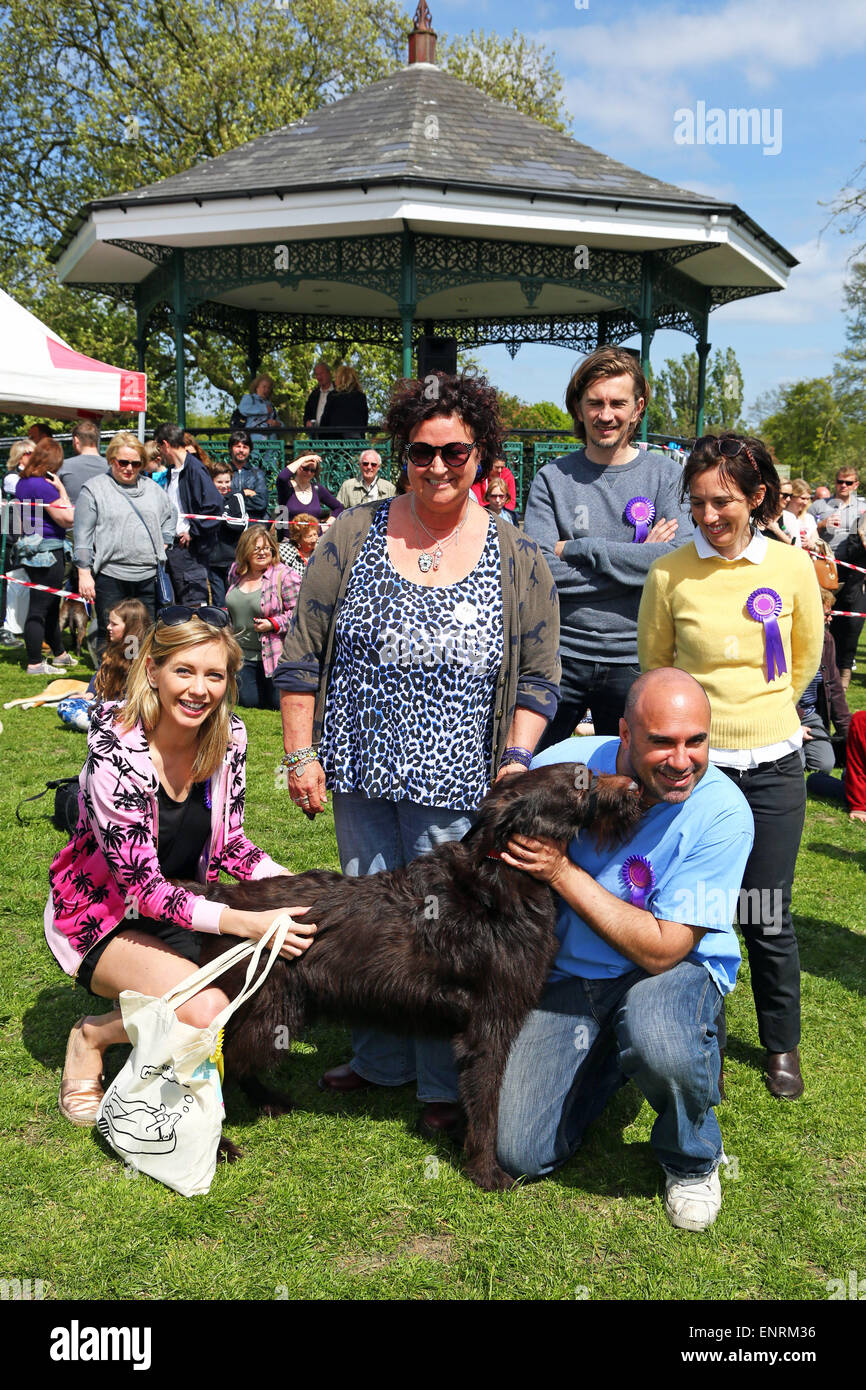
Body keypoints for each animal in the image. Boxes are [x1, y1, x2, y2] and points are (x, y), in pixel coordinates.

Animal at [184, 767, 644, 1189]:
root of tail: (226, 897)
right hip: (264, 1010)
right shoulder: (490, 1025)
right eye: (581, 780)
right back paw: (218, 1145)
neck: (499, 878)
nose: (636, 786)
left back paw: (265, 1100)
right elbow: (488, 1107)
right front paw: (485, 1171)